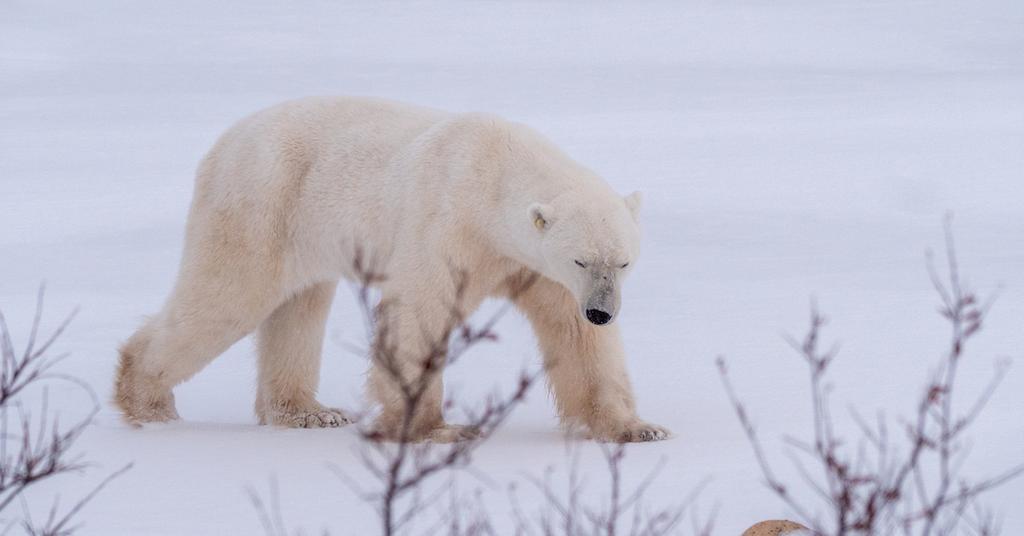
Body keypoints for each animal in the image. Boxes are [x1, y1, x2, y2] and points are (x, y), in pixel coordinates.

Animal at [114, 96, 670, 443]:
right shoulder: (451, 223)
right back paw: (149, 405)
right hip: (262, 200)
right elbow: (419, 313)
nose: (602, 311)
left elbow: (576, 339)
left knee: (299, 307)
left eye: (623, 261)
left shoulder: (536, 267)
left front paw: (637, 428)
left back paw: (310, 413)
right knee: (229, 297)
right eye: (581, 258)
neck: (496, 175)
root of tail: (224, 140)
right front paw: (437, 430)